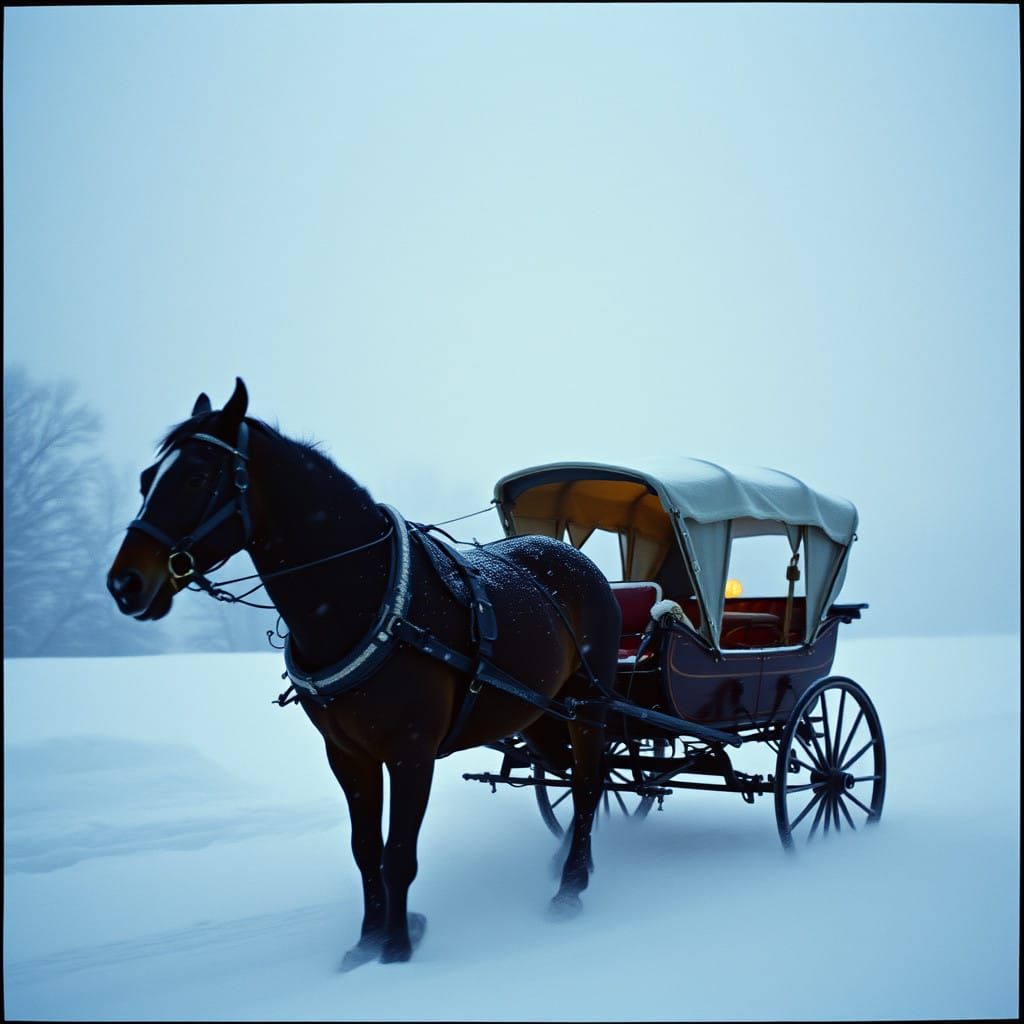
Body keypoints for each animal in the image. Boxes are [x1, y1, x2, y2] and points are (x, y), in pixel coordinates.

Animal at [107, 378, 621, 968]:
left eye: (194, 476)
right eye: (146, 479)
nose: (124, 583)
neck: (364, 598)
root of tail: (580, 562)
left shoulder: (411, 751)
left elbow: (399, 853)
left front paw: (396, 948)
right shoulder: (347, 754)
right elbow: (364, 850)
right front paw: (367, 941)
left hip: (588, 707)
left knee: (588, 781)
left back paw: (570, 886)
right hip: (537, 715)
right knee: (578, 778)